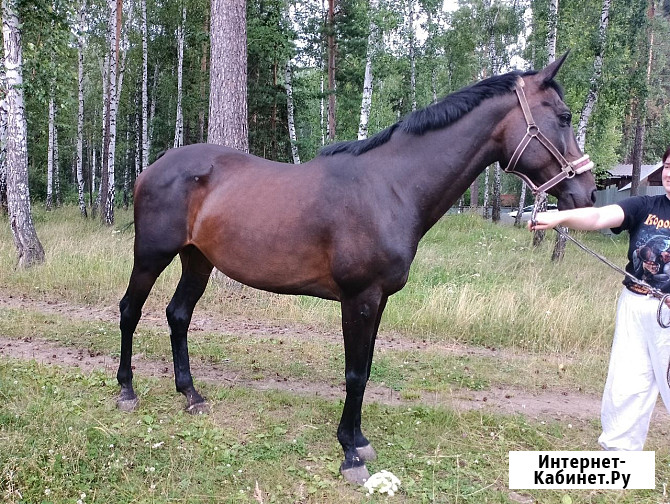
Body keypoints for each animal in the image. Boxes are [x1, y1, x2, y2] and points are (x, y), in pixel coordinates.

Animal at [116, 53, 596, 485]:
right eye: (564, 116)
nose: (589, 193)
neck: (391, 187)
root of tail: (152, 169)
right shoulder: (359, 298)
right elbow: (352, 373)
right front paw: (349, 456)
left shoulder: (379, 299)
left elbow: (364, 370)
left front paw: (360, 441)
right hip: (151, 256)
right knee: (130, 312)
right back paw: (126, 391)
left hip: (197, 260)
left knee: (178, 315)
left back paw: (191, 394)